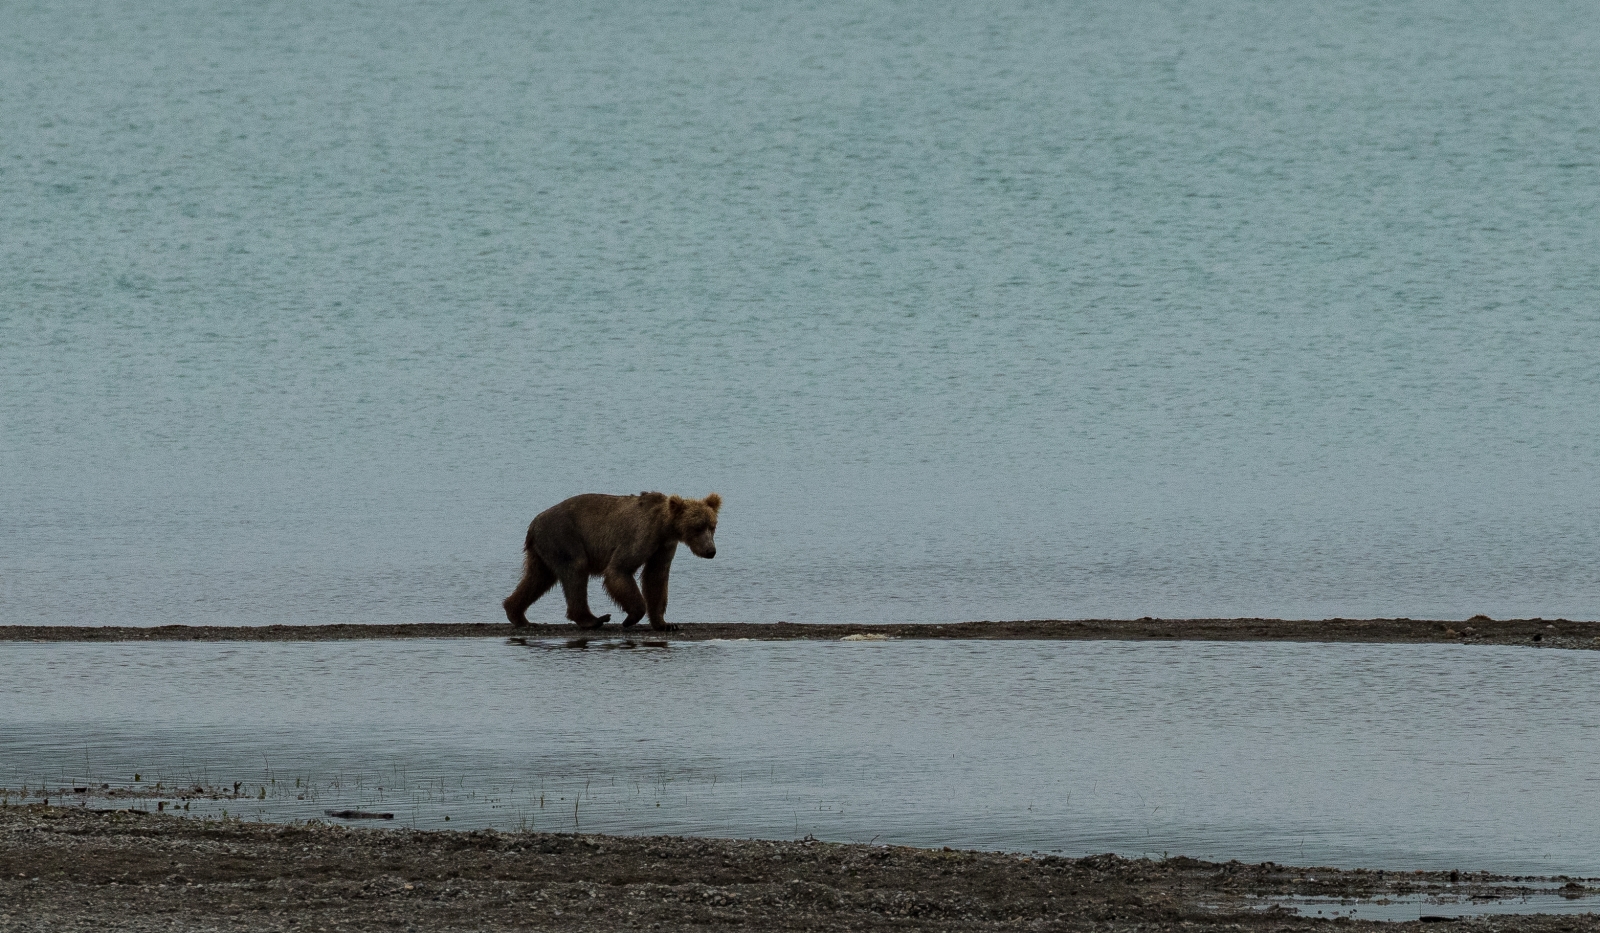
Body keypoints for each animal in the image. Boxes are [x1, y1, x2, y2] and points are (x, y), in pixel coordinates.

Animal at [502, 492, 723, 630]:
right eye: (697, 527)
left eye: (712, 526)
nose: (710, 551)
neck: (665, 526)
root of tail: (533, 524)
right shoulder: (641, 535)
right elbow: (619, 570)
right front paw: (631, 617)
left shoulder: (663, 546)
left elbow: (656, 578)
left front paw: (666, 624)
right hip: (563, 536)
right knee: (576, 569)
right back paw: (593, 620)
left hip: (543, 549)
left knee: (538, 578)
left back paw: (517, 614)